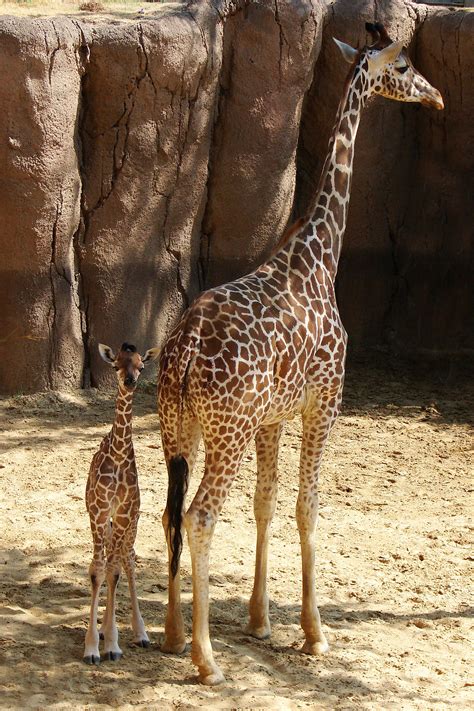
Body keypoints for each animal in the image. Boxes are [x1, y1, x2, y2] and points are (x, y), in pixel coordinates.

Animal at [157, 25, 442, 688]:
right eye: (405, 65)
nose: (437, 96)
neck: (318, 255)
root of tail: (184, 349)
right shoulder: (325, 401)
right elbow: (307, 506)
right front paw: (315, 633)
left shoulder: (273, 418)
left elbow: (266, 503)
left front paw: (260, 620)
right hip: (226, 431)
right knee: (201, 517)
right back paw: (206, 660)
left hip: (177, 429)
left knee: (170, 514)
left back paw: (174, 636)